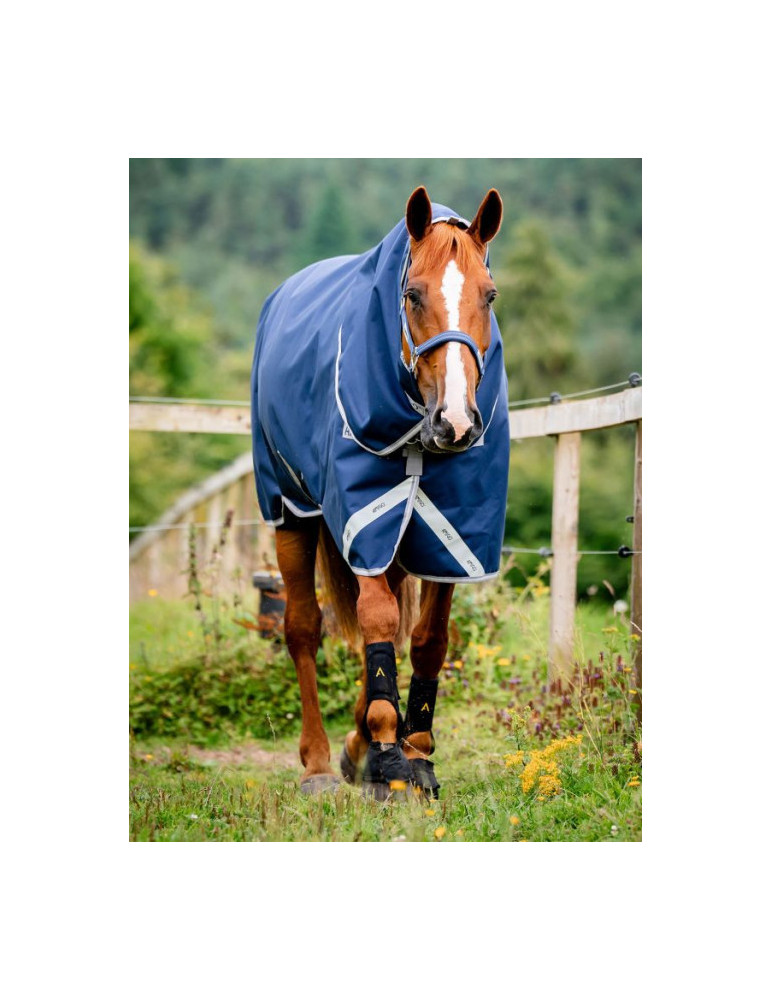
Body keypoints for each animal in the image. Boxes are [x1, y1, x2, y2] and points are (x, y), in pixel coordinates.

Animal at [251, 186, 509, 799]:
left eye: (489, 295)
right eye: (412, 294)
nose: (456, 423)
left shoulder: (453, 535)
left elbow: (428, 638)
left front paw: (415, 750)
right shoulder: (364, 519)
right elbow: (374, 620)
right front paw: (389, 753)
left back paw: (355, 745)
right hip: (292, 511)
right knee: (303, 628)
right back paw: (320, 762)